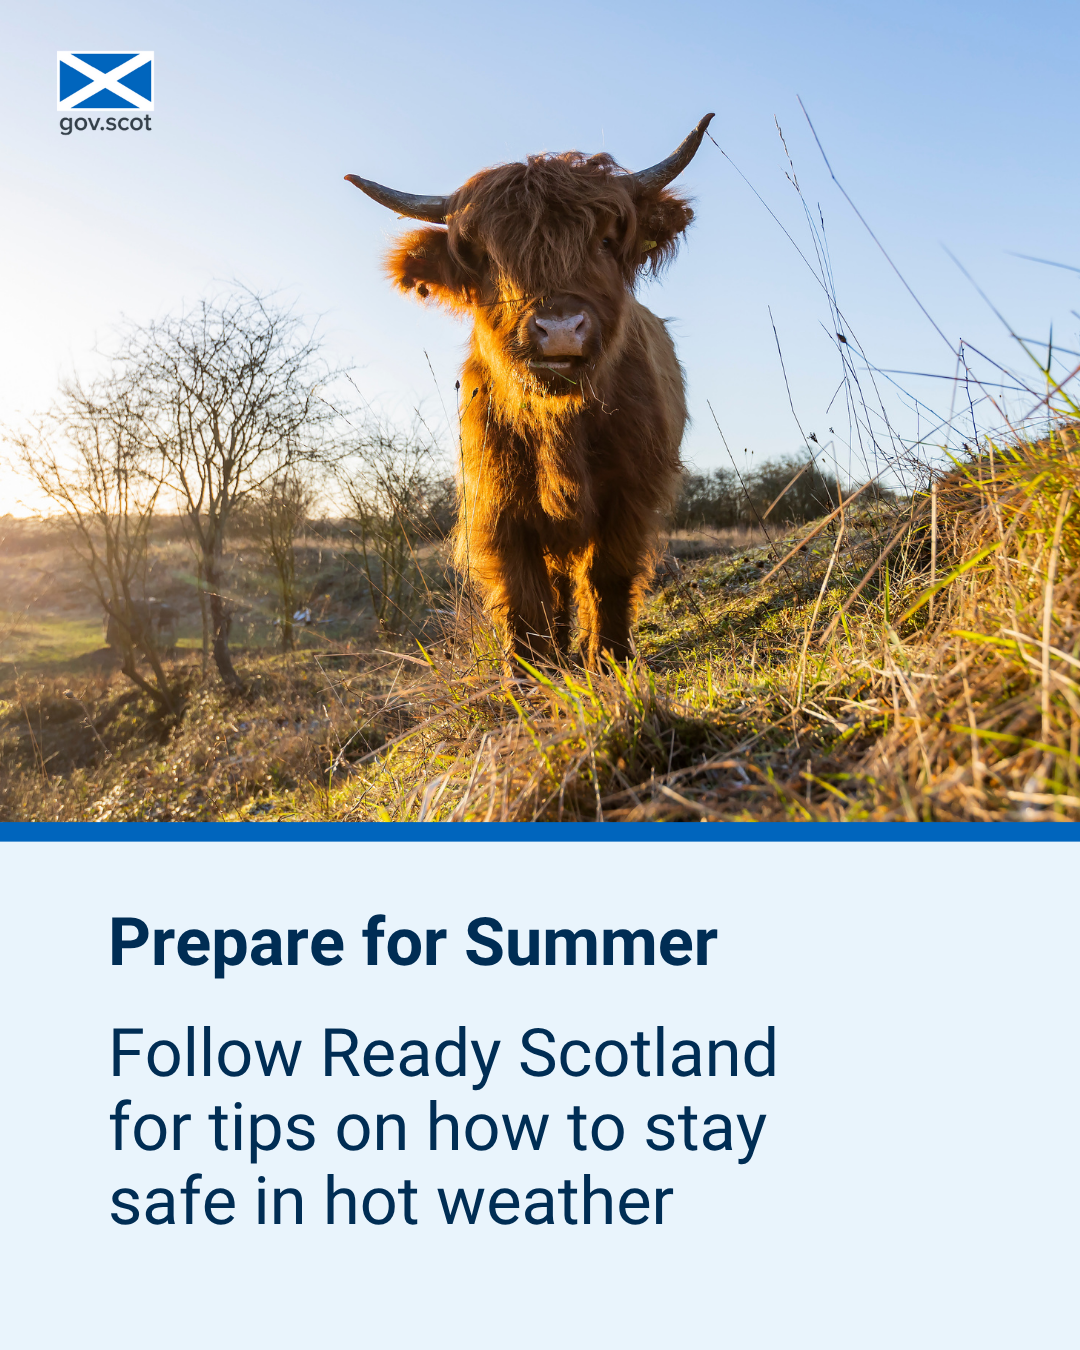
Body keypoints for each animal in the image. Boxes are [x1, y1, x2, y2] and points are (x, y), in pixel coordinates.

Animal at [345, 114, 713, 671]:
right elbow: (523, 594)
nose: (559, 329)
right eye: (487, 258)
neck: (559, 424)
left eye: (606, 241)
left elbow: (607, 576)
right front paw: (530, 673)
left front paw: (608, 660)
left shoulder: (630, 494)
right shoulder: (497, 498)